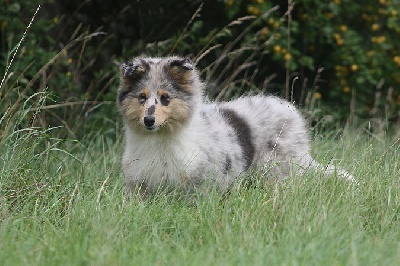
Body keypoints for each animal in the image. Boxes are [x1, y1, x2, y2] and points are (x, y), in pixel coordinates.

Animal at [116, 55, 354, 197]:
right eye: (141, 97)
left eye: (165, 98)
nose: (148, 121)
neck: (160, 139)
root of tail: (289, 110)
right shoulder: (139, 183)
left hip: (277, 169)